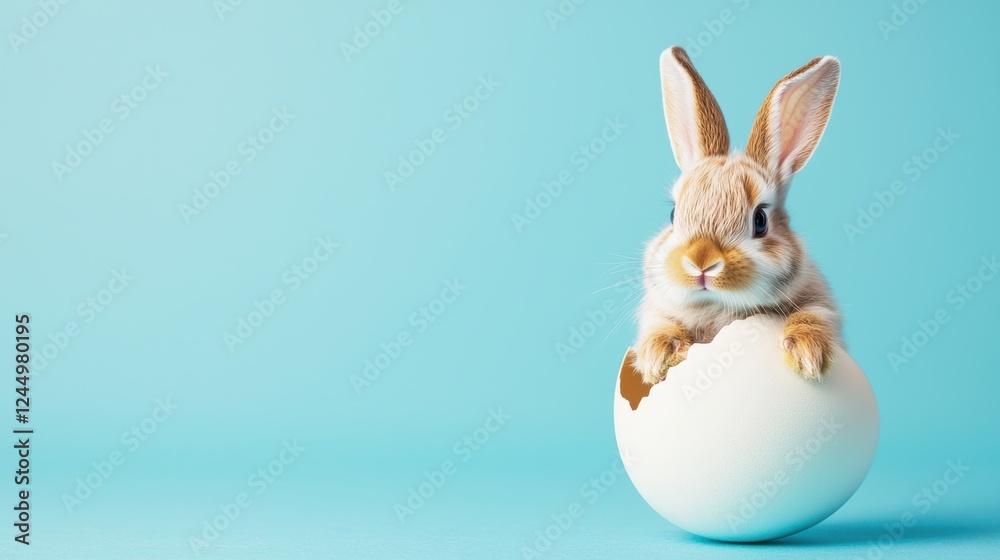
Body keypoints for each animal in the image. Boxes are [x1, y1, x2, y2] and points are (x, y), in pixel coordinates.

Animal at [633, 46, 843, 386]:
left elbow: (813, 315)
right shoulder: (657, 310)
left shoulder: (821, 304)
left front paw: (807, 355)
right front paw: (659, 357)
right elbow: (659, 324)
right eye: (673, 213)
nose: (701, 262)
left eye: (760, 220)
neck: (720, 307)